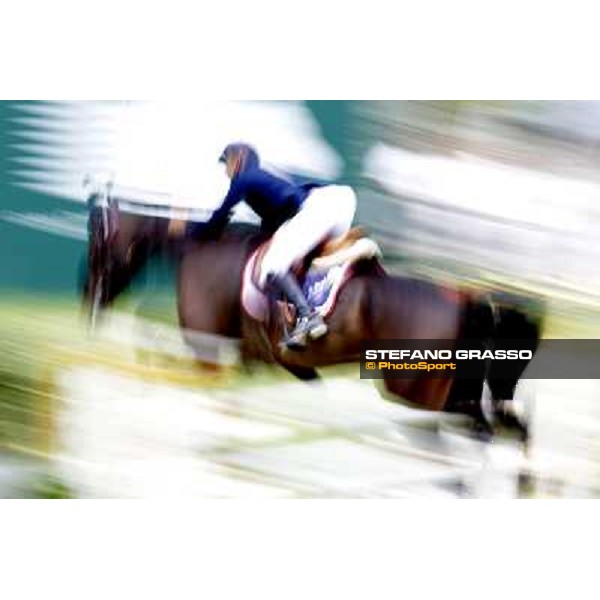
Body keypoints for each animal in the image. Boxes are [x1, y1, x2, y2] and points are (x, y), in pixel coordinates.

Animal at [79, 192, 544, 440]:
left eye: (98, 247)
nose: (89, 303)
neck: (199, 246)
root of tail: (468, 300)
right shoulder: (265, 361)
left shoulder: (207, 352)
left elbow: (158, 351)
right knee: (494, 421)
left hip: (416, 390)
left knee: (473, 422)